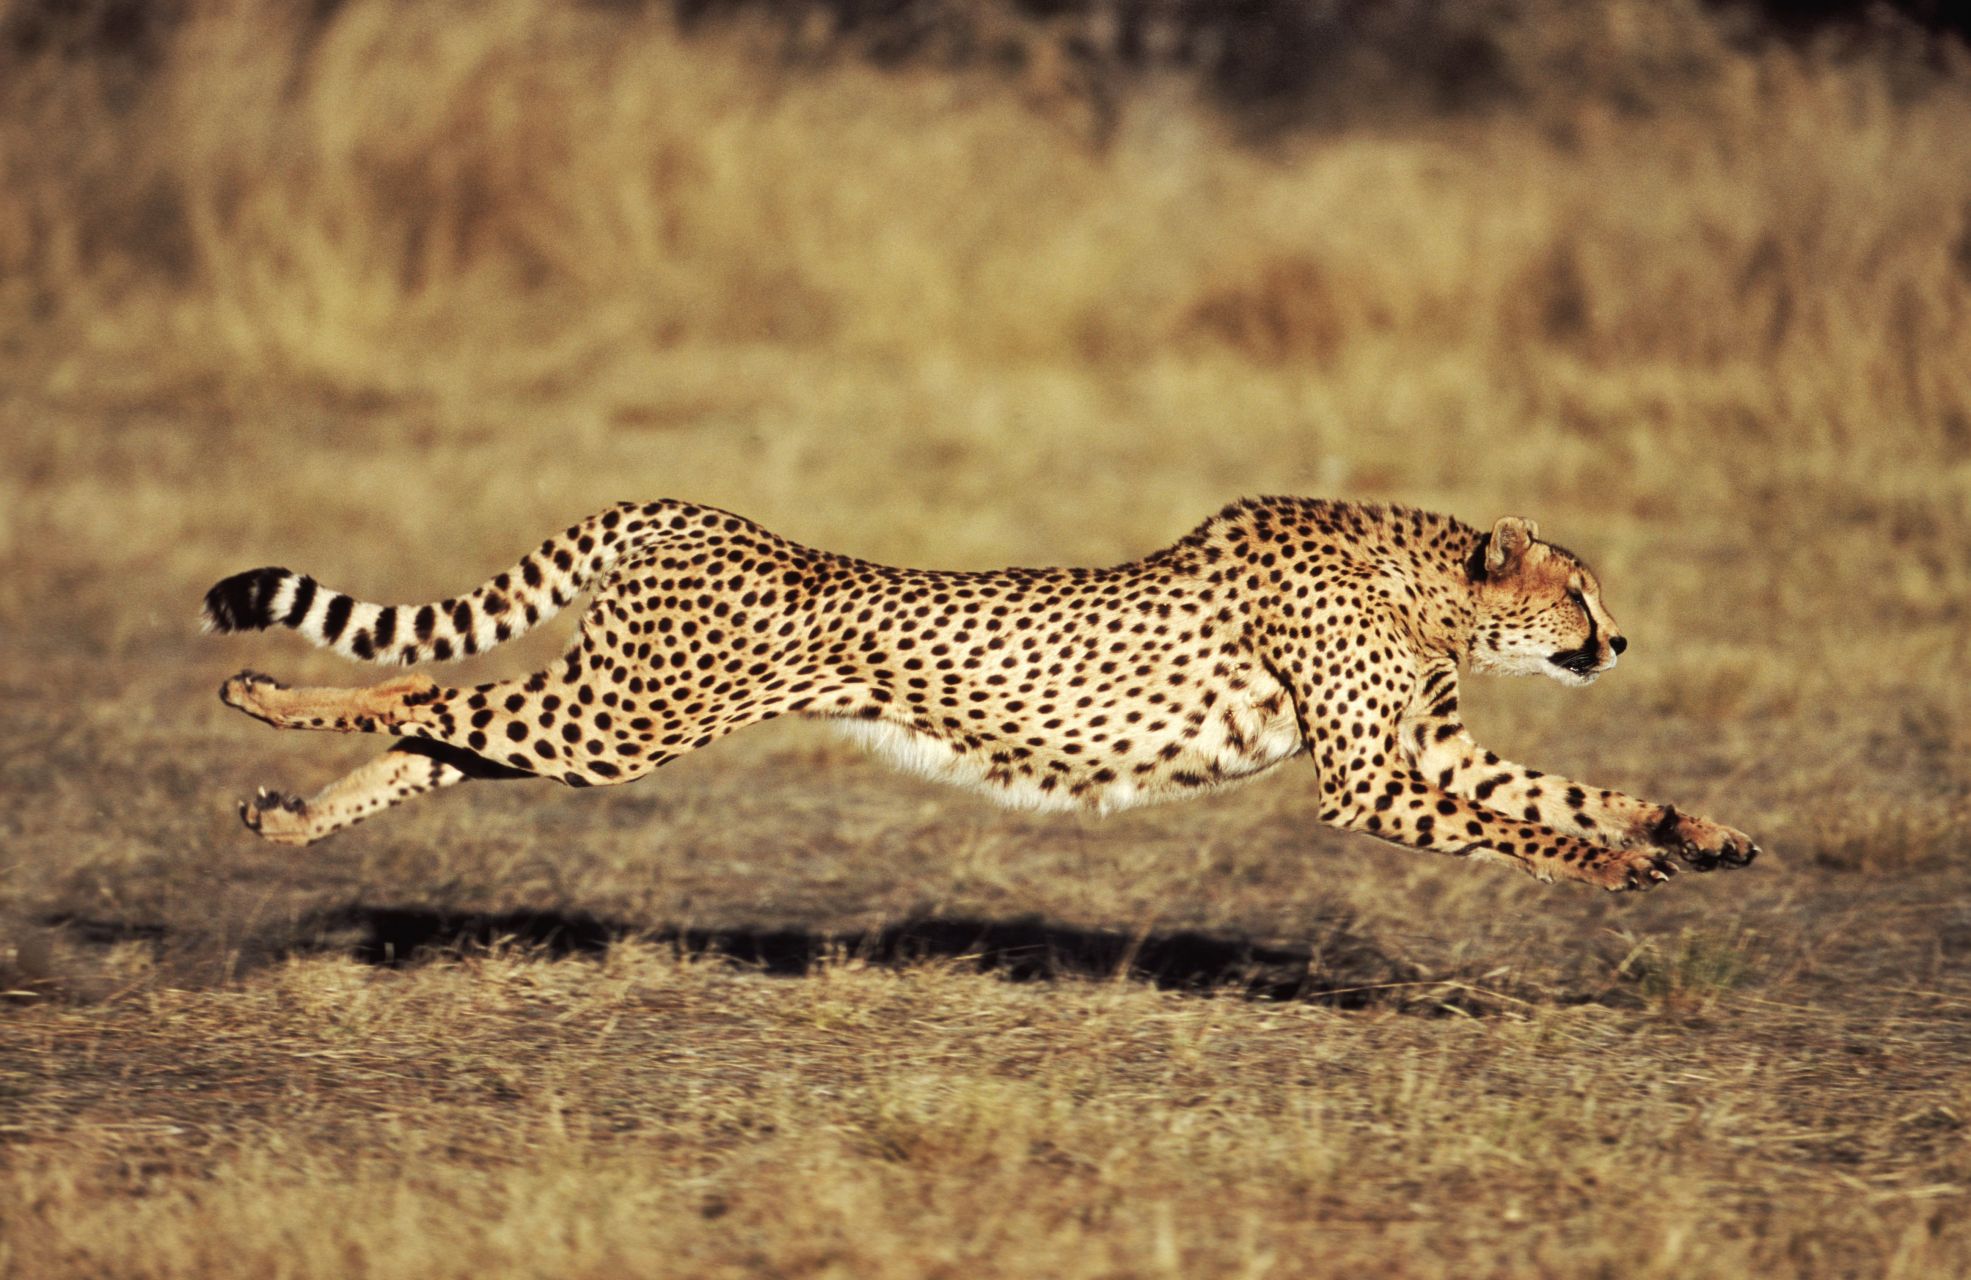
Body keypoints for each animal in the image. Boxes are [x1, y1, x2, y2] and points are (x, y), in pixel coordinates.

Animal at [207, 495, 1766, 895]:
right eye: (1577, 593)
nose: (1620, 642)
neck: (1427, 581)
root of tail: (689, 508)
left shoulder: (1424, 751)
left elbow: (1568, 790)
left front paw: (1696, 834)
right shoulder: (1368, 779)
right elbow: (1525, 825)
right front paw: (1611, 870)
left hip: (608, 716)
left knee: (437, 733)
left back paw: (285, 818)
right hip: (629, 718)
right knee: (418, 681)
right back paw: (258, 693)